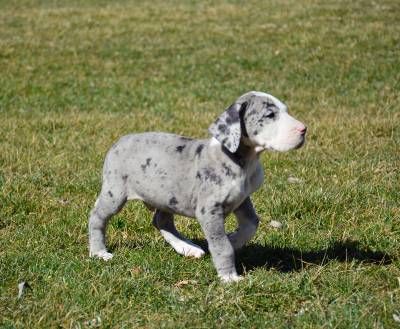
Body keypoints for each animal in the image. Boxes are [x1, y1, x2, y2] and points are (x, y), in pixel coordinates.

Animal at [88, 90, 306, 282]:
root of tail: (120, 140)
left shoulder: (242, 199)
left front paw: (234, 240)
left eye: (285, 110)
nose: (304, 129)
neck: (243, 161)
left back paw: (187, 248)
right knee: (97, 217)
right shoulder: (209, 210)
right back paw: (99, 252)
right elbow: (222, 245)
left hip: (166, 196)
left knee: (161, 221)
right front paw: (229, 277)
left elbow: (251, 224)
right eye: (270, 115)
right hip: (115, 193)